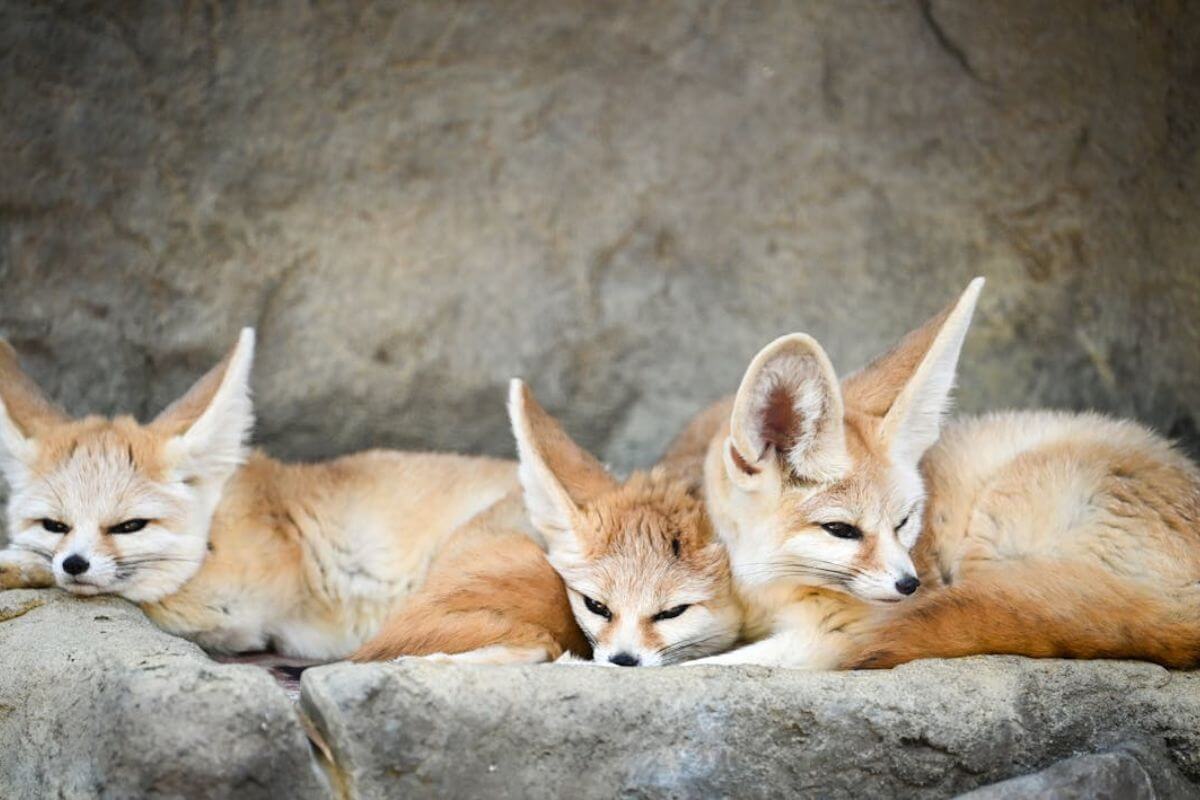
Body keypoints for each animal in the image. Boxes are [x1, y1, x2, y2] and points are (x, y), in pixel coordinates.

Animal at [0, 331, 516, 657]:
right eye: (55, 525)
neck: (220, 522)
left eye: (129, 526)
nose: (74, 563)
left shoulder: (237, 609)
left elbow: (145, 588)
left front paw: (19, 564)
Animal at [667, 278, 1200, 671]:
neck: (763, 584)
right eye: (841, 529)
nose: (910, 585)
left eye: (904, 521)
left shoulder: (830, 635)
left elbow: (699, 669)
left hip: (997, 514)